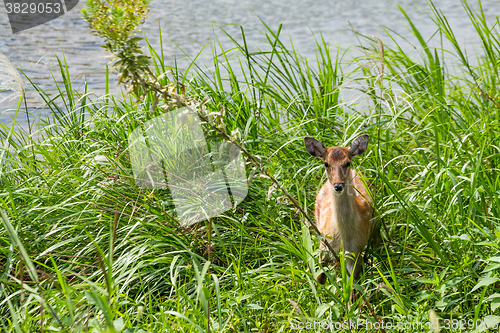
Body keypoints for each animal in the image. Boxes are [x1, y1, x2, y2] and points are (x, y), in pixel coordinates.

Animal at [302, 134, 374, 282]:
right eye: (326, 163)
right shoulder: (324, 245)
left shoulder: (356, 250)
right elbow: (320, 278)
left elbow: (352, 284)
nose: (338, 185)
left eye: (347, 162)